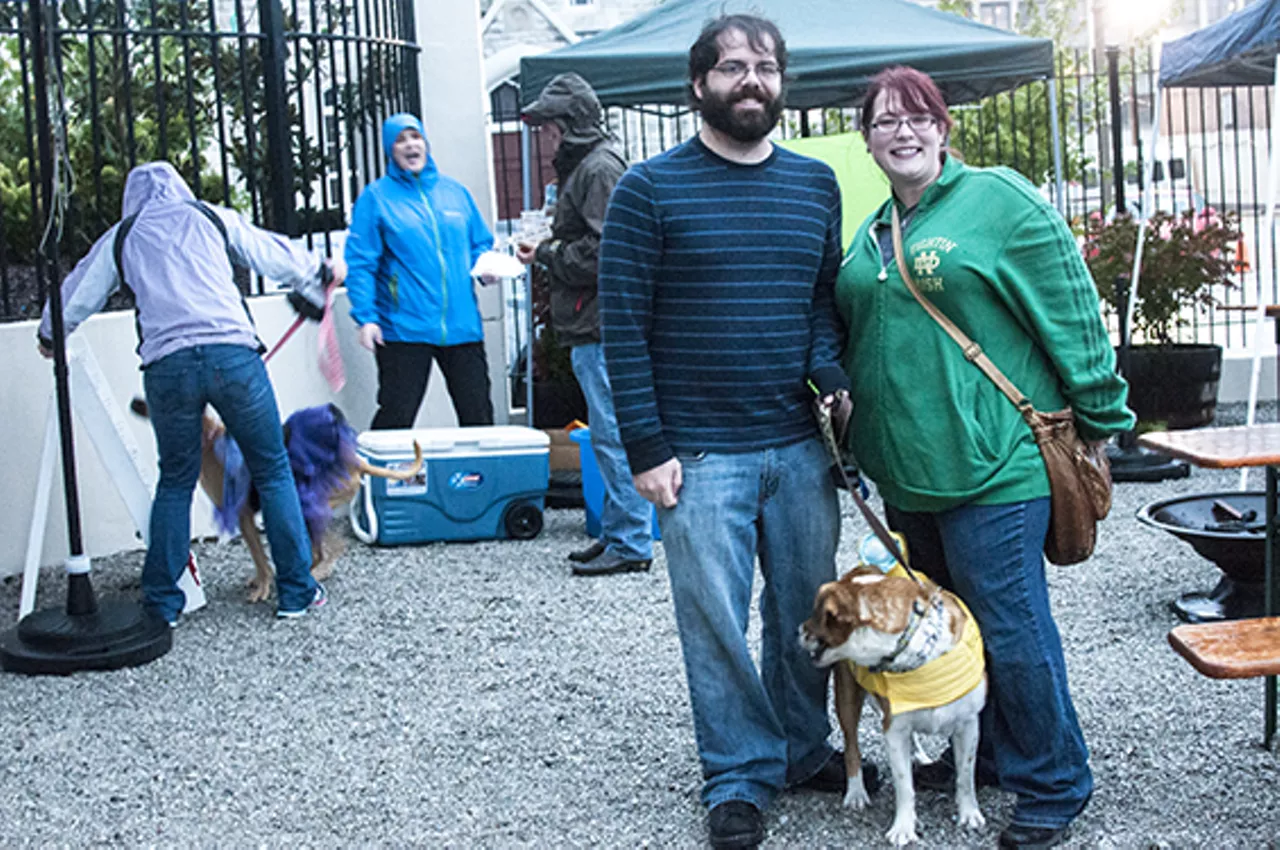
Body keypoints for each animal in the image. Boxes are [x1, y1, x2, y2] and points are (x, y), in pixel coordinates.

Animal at [135, 399, 424, 604]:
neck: (209, 440)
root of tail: (356, 462)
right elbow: (260, 556)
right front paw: (262, 580)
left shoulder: (243, 516)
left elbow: (259, 556)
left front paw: (263, 586)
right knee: (324, 549)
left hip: (308, 508)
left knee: (326, 551)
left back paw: (312, 574)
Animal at [798, 560, 988, 844]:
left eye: (818, 615)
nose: (798, 630)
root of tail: (861, 567)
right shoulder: (894, 731)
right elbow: (904, 785)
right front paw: (903, 827)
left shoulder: (968, 724)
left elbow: (966, 775)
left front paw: (969, 813)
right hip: (847, 697)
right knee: (852, 747)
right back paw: (856, 792)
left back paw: (919, 755)